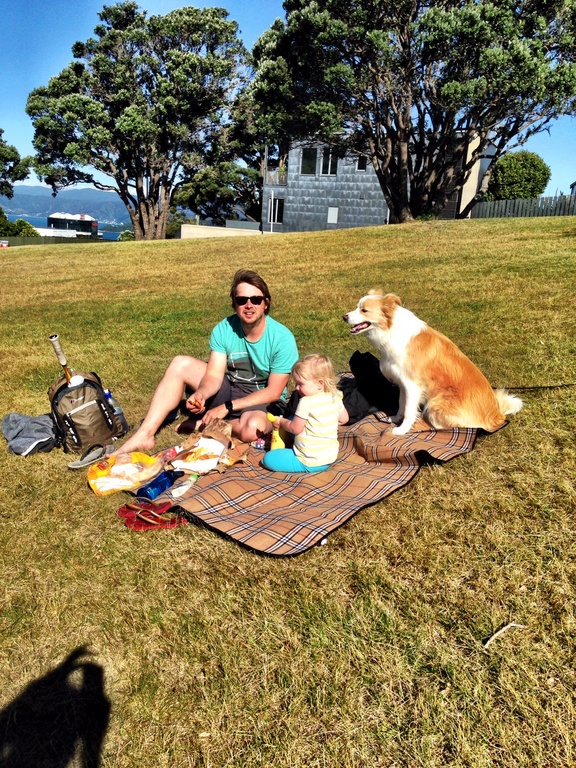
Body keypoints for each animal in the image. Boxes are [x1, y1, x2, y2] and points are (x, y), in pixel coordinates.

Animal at [343, 291, 522, 435]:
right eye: (357, 307)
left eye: (364, 310)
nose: (344, 316)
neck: (390, 330)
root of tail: (497, 415)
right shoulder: (402, 383)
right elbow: (401, 405)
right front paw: (395, 418)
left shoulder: (412, 385)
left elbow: (409, 410)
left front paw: (402, 429)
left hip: (436, 403)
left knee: (458, 427)